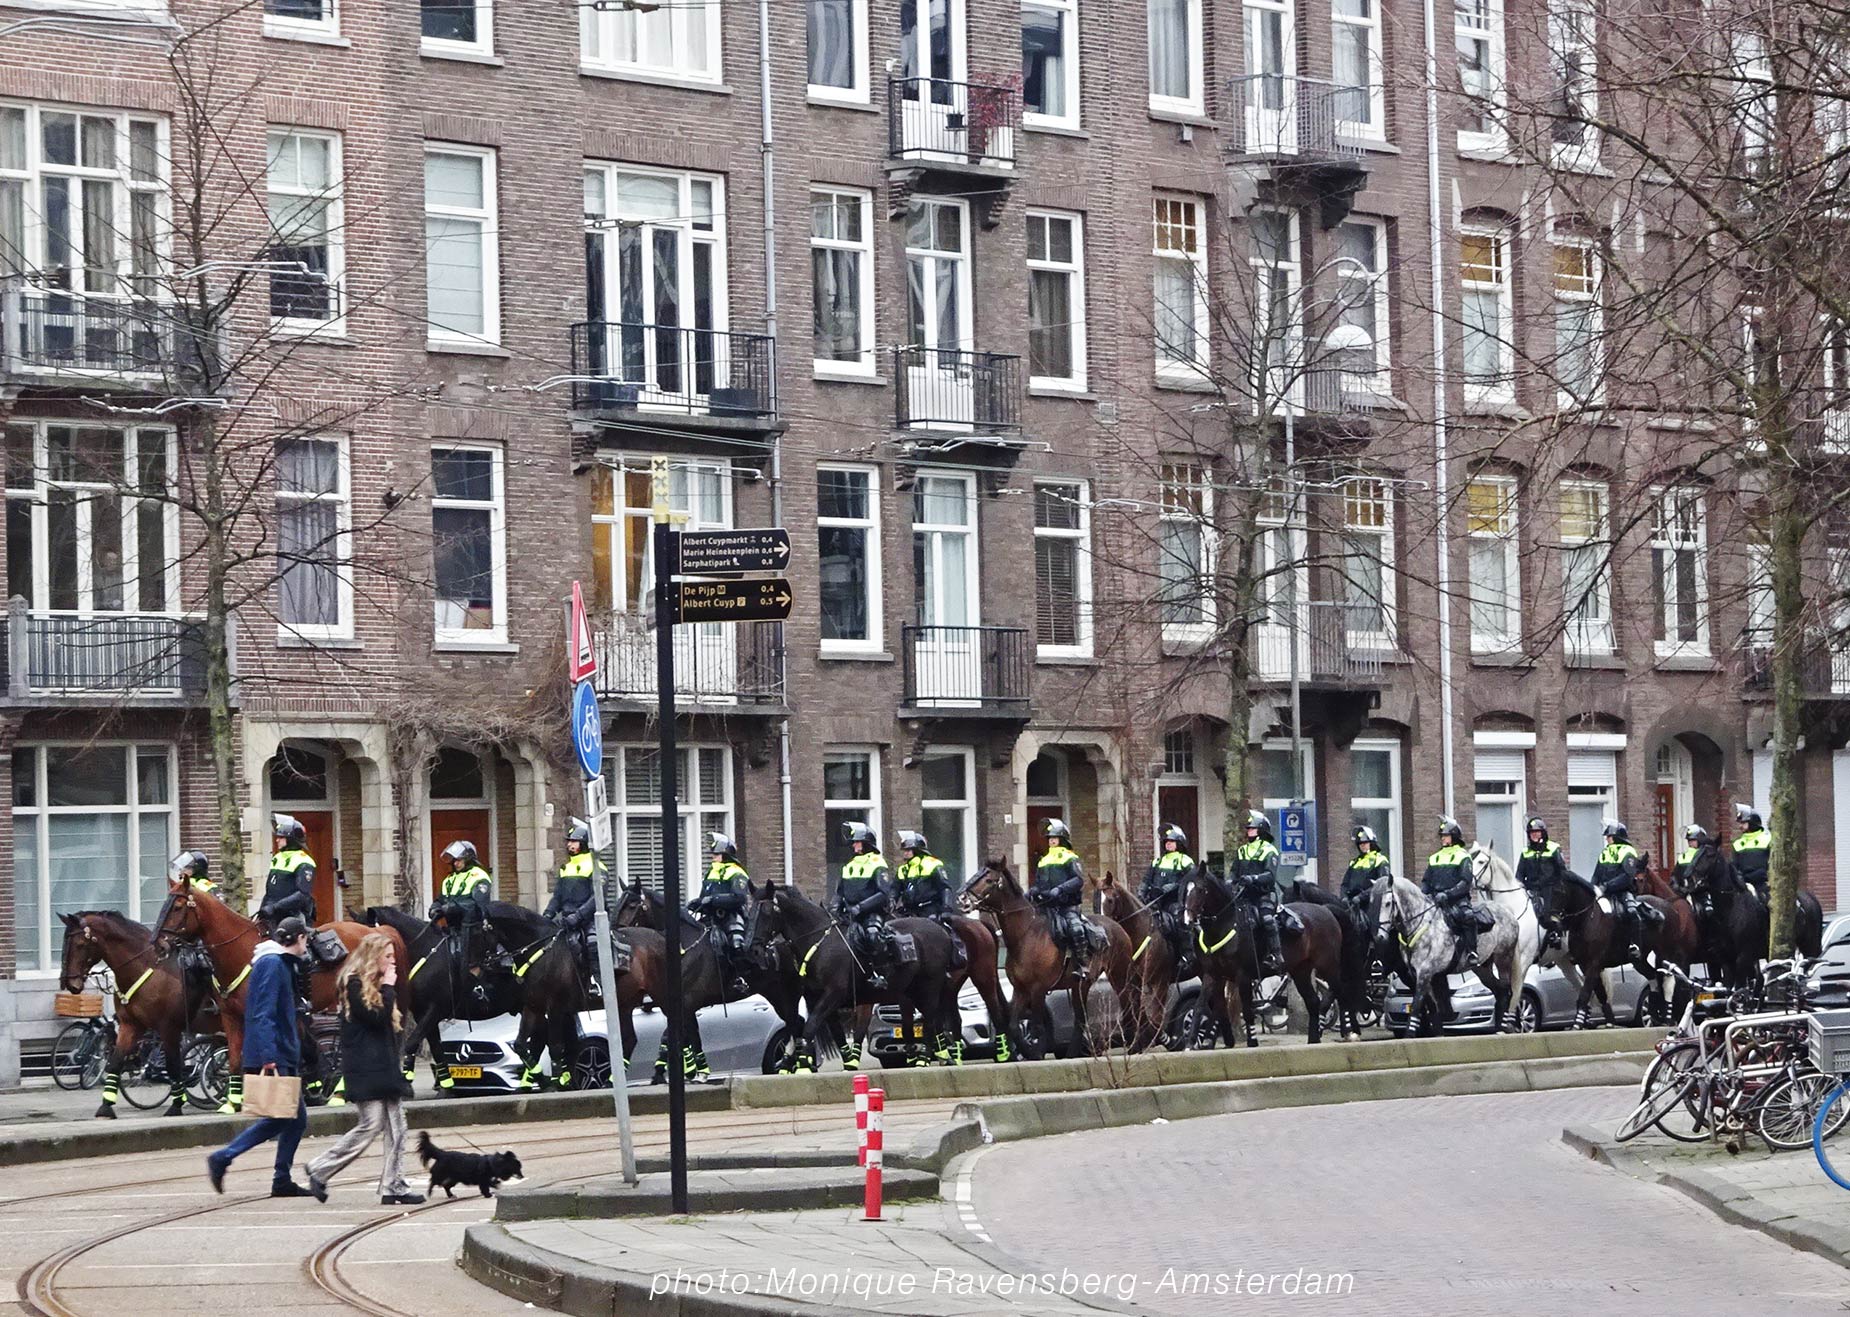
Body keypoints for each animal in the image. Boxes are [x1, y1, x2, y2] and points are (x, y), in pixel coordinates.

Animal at [58, 912, 207, 1119]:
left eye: (80, 944)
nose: (69, 983)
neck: (145, 967)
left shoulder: (169, 1028)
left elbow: (173, 1065)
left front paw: (176, 1106)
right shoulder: (131, 1025)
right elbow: (115, 1062)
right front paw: (106, 1107)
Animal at [152, 882, 408, 1111]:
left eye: (178, 907)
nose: (158, 944)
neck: (240, 952)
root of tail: (375, 931)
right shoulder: (232, 1017)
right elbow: (236, 1059)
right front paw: (232, 1102)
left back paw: (340, 1092)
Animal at [363, 902, 555, 1094]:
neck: (426, 953)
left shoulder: (436, 1009)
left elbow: (412, 1042)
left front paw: (406, 1081)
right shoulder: (422, 1013)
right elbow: (436, 1048)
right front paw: (446, 1087)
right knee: (541, 1037)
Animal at [960, 858, 1136, 1060]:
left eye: (989, 880)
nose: (962, 899)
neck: (1026, 934)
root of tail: (1117, 926)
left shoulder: (1038, 989)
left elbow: (1036, 1027)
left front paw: (1034, 1053)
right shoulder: (1020, 989)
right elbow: (1014, 1026)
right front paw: (1028, 1052)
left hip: (1119, 975)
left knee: (1127, 1005)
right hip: (1080, 985)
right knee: (1080, 1019)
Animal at [1374, 873, 1521, 1035]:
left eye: (1388, 903)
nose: (1380, 936)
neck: (1420, 926)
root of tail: (1509, 913)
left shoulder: (1424, 974)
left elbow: (1416, 1007)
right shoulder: (1420, 976)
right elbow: (1432, 1010)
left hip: (1503, 959)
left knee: (1507, 990)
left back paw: (1504, 1027)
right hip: (1483, 968)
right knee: (1500, 991)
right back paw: (1499, 1028)